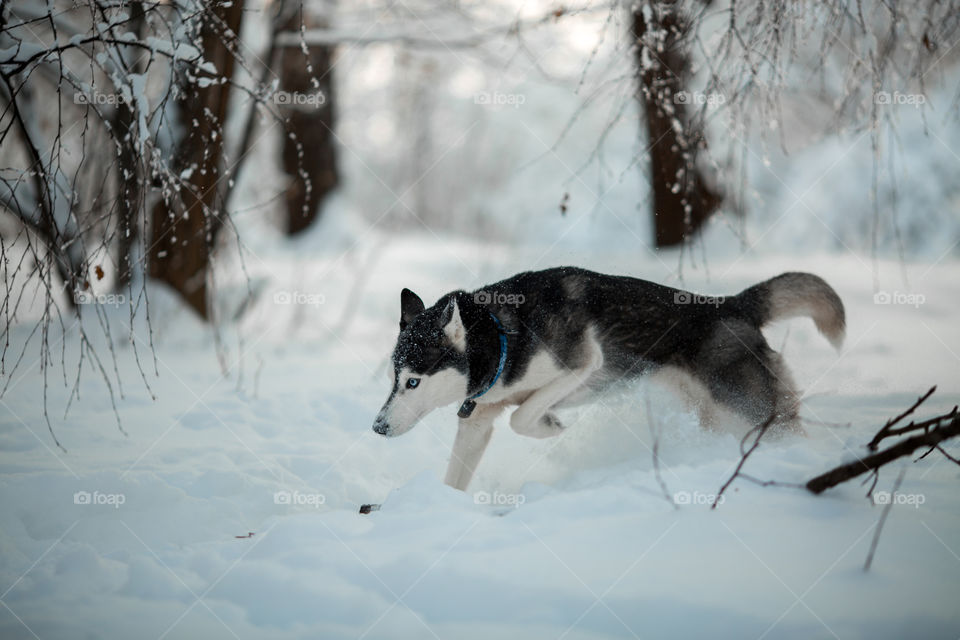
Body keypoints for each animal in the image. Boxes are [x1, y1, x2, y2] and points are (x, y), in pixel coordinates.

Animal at [372, 264, 844, 490]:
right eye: (394, 378)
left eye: (414, 382)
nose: (377, 426)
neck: (502, 338)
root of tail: (731, 304)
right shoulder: (478, 418)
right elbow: (458, 472)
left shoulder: (584, 363)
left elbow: (523, 416)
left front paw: (550, 426)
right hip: (711, 412)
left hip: (748, 406)